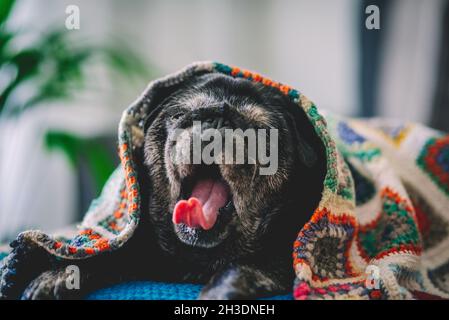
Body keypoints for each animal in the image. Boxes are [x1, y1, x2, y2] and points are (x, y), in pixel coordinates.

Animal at [17, 71, 326, 298]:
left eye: (262, 133)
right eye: (179, 116)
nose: (218, 118)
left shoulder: (276, 256)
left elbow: (238, 268)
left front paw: (217, 292)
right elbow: (106, 253)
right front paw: (59, 275)